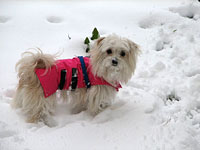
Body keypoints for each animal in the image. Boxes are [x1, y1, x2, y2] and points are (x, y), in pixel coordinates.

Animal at [11, 34, 139, 125]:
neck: (103, 70)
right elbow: (96, 107)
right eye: (109, 51)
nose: (114, 61)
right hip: (41, 98)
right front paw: (101, 115)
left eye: (123, 53)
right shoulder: (96, 94)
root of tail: (33, 69)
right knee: (36, 114)